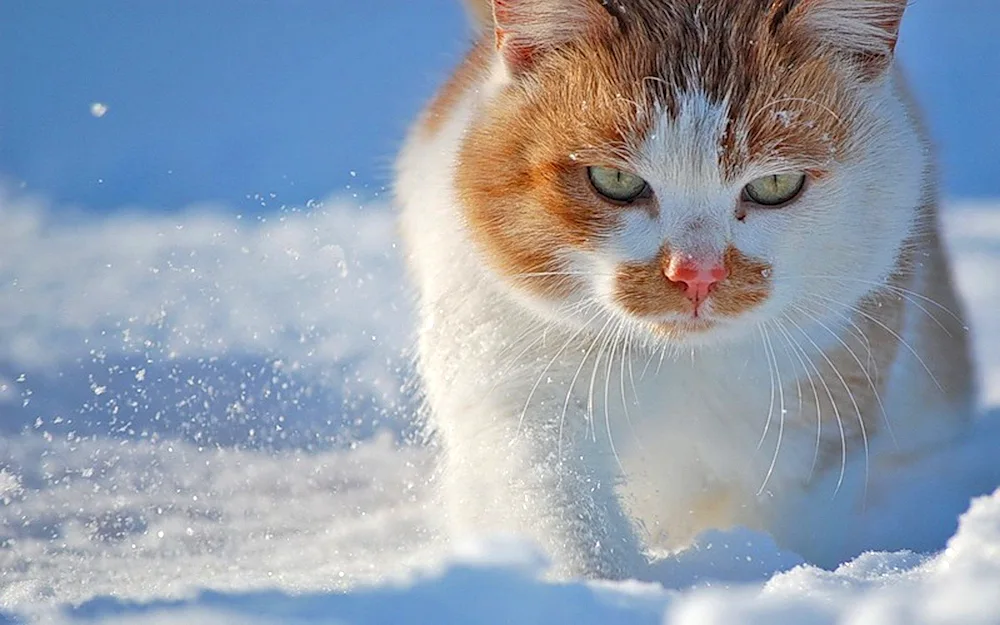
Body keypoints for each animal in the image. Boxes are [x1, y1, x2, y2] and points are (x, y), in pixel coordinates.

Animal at [394, 0, 972, 576]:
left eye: (775, 185)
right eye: (614, 180)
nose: (696, 272)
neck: (681, 363)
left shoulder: (819, 413)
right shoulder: (515, 388)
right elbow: (555, 511)